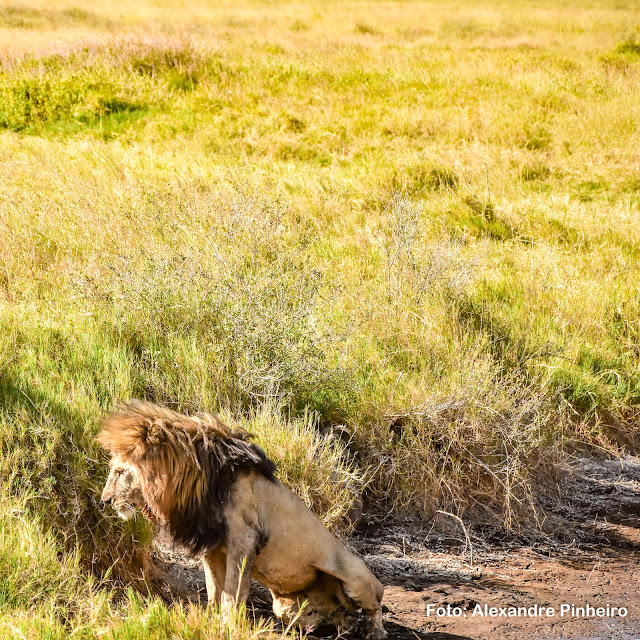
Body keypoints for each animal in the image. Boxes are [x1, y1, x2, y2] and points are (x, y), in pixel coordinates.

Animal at [98, 400, 388, 640]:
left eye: (120, 471)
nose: (105, 500)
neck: (196, 483)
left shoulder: (244, 541)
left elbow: (232, 593)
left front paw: (227, 626)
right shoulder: (212, 548)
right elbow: (213, 589)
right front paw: (210, 621)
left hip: (356, 578)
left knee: (374, 606)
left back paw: (374, 631)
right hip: (284, 607)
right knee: (336, 613)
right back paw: (345, 625)